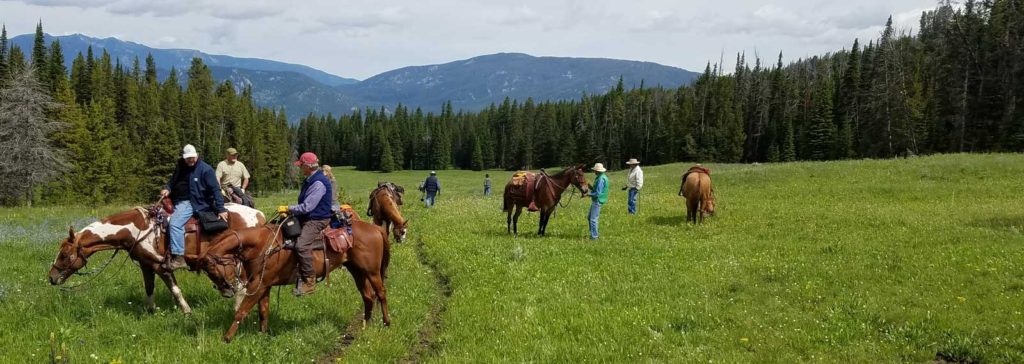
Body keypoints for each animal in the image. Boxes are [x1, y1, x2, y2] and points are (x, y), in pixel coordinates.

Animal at [48, 204, 266, 315]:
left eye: (65, 255)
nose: (51, 277)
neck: (136, 230)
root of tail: (258, 215)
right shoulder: (146, 266)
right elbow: (149, 288)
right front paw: (150, 311)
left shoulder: (161, 267)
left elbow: (175, 290)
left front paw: (187, 312)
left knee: (241, 285)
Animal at [199, 218, 391, 344]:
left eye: (212, 270)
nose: (227, 291)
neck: (262, 245)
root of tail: (375, 228)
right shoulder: (265, 286)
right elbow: (263, 311)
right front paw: (262, 335)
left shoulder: (258, 285)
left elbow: (241, 311)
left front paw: (226, 338)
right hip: (357, 271)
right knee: (368, 296)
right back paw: (365, 325)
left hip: (372, 272)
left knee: (381, 293)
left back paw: (386, 323)